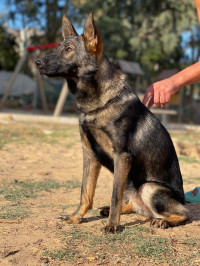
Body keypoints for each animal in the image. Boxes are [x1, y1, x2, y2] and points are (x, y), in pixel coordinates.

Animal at [35, 13, 188, 233]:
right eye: (58, 48)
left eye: (68, 50)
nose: (37, 62)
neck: (99, 104)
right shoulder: (90, 155)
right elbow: (85, 193)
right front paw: (76, 217)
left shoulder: (121, 157)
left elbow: (114, 195)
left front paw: (112, 225)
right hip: (132, 186)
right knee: (134, 205)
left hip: (149, 187)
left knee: (183, 213)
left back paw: (164, 220)